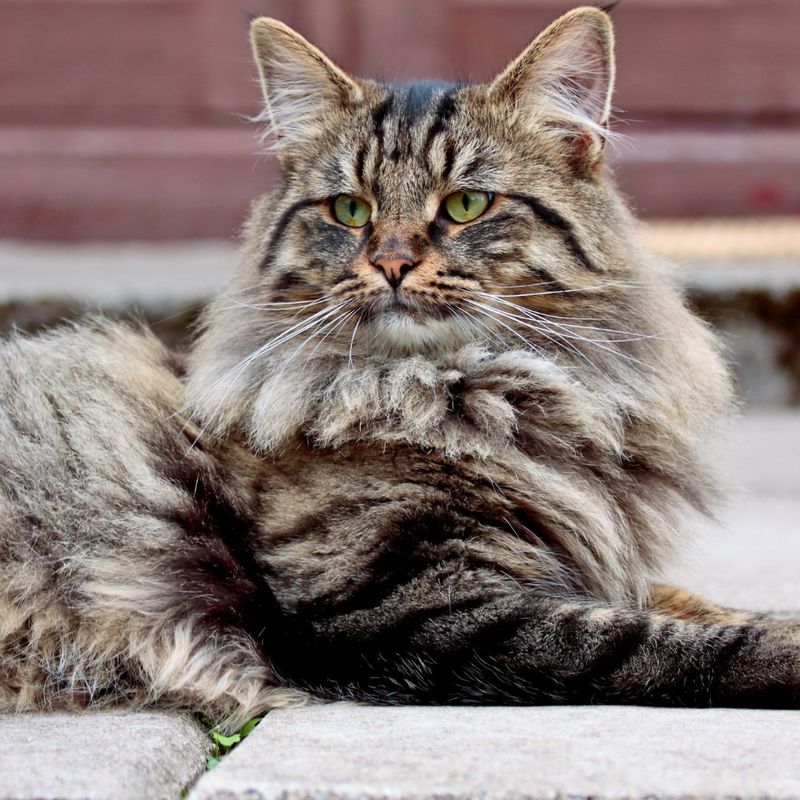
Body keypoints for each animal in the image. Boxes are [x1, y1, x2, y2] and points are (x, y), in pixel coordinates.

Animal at [1, 6, 800, 732]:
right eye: (351, 210)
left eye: (467, 204)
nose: (390, 264)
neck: (460, 394)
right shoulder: (410, 611)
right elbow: (672, 643)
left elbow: (695, 604)